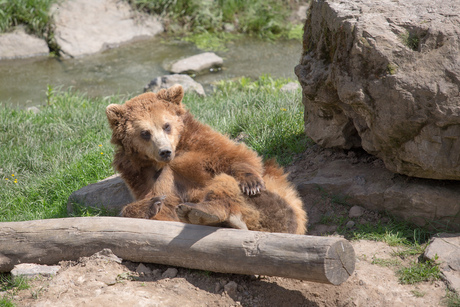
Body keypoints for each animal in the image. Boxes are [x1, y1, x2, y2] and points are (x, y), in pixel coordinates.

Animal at [104, 85, 306, 235]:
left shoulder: (202, 144)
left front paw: (251, 183)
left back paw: (206, 212)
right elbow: (160, 204)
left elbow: (234, 155)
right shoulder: (141, 177)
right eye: (145, 133)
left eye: (166, 125)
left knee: (228, 185)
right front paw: (152, 204)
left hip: (279, 206)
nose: (165, 152)